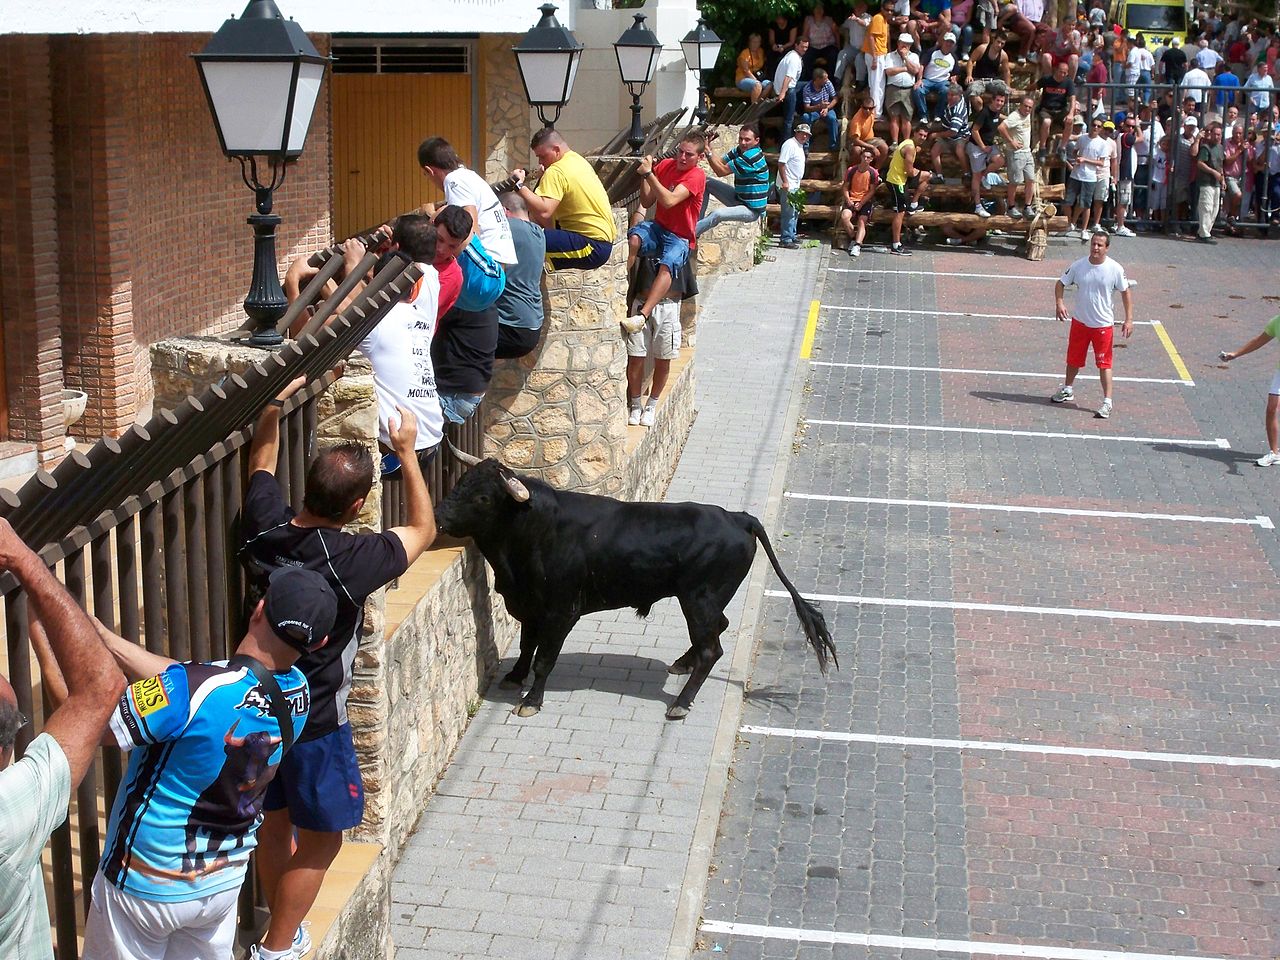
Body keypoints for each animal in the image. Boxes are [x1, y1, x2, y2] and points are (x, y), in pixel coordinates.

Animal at [434, 455, 838, 720]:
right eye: (460, 482)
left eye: (483, 497)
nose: (437, 516)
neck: (533, 532)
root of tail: (738, 517)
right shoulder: (529, 606)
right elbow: (525, 645)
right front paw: (514, 677)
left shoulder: (561, 612)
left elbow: (544, 658)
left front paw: (531, 700)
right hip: (706, 601)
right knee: (717, 630)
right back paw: (682, 663)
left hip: (698, 600)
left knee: (712, 649)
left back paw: (680, 703)